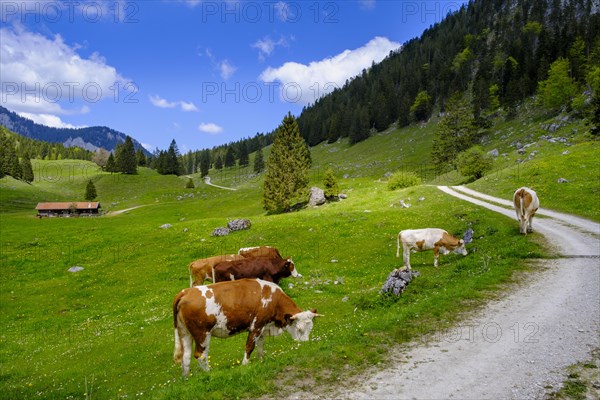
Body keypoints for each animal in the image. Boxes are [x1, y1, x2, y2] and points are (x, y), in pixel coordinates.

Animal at [173, 278, 324, 376]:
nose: (305, 345)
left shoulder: (263, 327)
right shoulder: (256, 326)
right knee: (201, 355)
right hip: (202, 334)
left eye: (310, 328)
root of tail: (186, 292)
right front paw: (245, 365)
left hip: (184, 332)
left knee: (186, 357)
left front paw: (262, 360)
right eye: (299, 329)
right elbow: (250, 346)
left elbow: (260, 345)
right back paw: (209, 373)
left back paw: (187, 379)